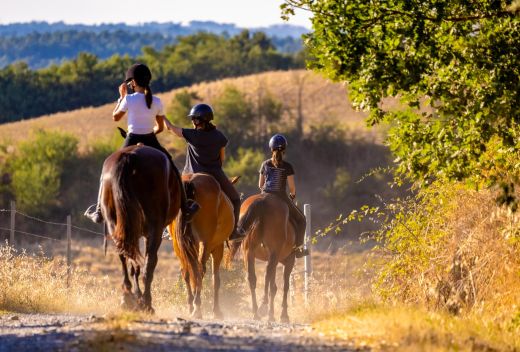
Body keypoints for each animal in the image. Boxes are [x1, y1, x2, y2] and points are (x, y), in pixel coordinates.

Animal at [99, 144, 181, 312]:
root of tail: (129, 158)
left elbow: (133, 265)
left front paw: (135, 296)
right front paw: (141, 298)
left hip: (115, 224)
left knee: (123, 255)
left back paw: (127, 297)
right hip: (154, 228)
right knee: (149, 263)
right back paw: (147, 302)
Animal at [170, 173, 235, 320]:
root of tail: (190, 180)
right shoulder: (218, 248)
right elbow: (216, 279)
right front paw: (217, 311)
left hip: (178, 245)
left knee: (187, 272)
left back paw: (191, 305)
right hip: (204, 243)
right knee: (200, 270)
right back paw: (197, 307)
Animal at [231, 194, 298, 324]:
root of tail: (263, 199)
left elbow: (274, 285)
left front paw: (272, 314)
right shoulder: (289, 260)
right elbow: (284, 286)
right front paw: (283, 315)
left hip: (248, 253)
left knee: (252, 279)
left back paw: (256, 312)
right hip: (274, 253)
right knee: (267, 275)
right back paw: (263, 306)